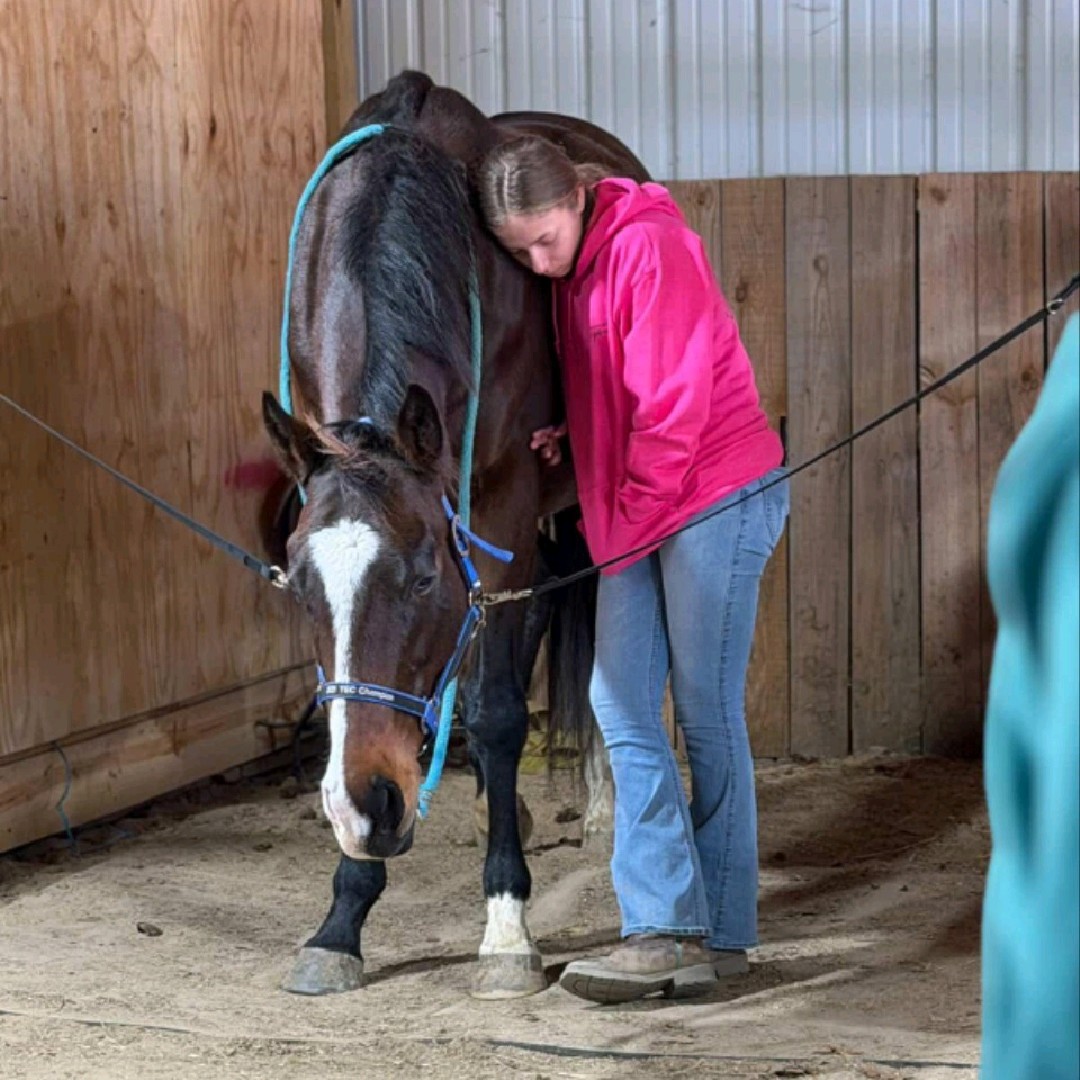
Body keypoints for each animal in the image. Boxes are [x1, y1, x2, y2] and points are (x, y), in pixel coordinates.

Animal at [261, 70, 649, 998]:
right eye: (299, 586)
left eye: (422, 577)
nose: (366, 806)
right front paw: (343, 918)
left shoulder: (498, 504)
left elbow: (499, 710)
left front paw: (506, 925)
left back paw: (601, 800)